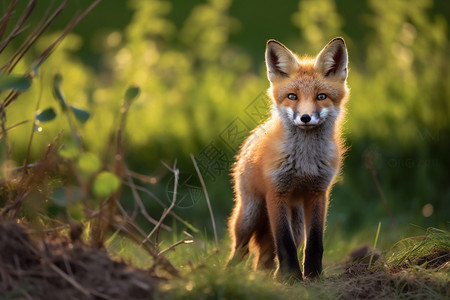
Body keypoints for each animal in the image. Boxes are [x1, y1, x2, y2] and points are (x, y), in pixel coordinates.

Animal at [227, 38, 350, 282]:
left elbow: (315, 243)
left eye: (321, 96)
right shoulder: (276, 193)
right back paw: (229, 274)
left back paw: (267, 278)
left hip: (298, 224)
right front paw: (291, 277)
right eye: (292, 96)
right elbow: (285, 243)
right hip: (249, 216)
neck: (304, 163)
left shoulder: (318, 193)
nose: (305, 117)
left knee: (263, 259)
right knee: (240, 250)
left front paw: (313, 275)